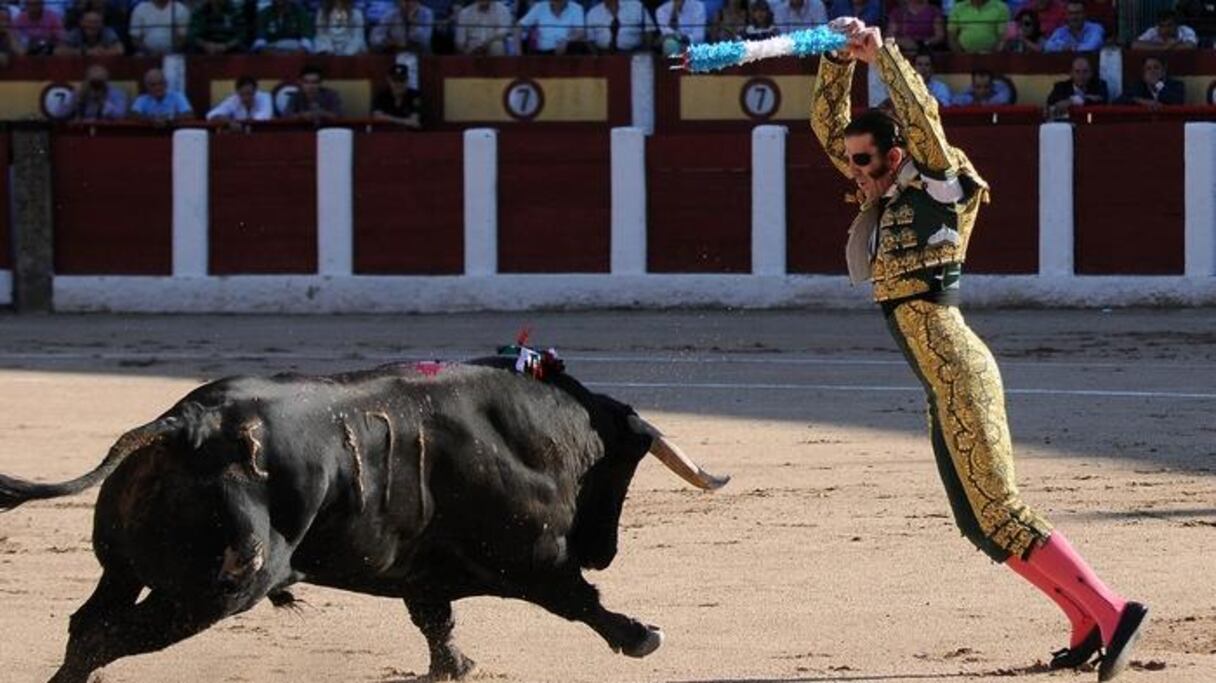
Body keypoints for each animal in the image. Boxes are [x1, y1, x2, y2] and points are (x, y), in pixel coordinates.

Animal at [0, 357, 729, 680]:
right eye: (619, 473)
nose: (604, 548)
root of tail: (186, 423)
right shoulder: (533, 557)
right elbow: (578, 597)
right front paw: (641, 635)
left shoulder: (421, 568)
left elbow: (435, 617)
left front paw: (455, 665)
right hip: (215, 590)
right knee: (111, 633)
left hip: (125, 569)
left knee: (89, 625)